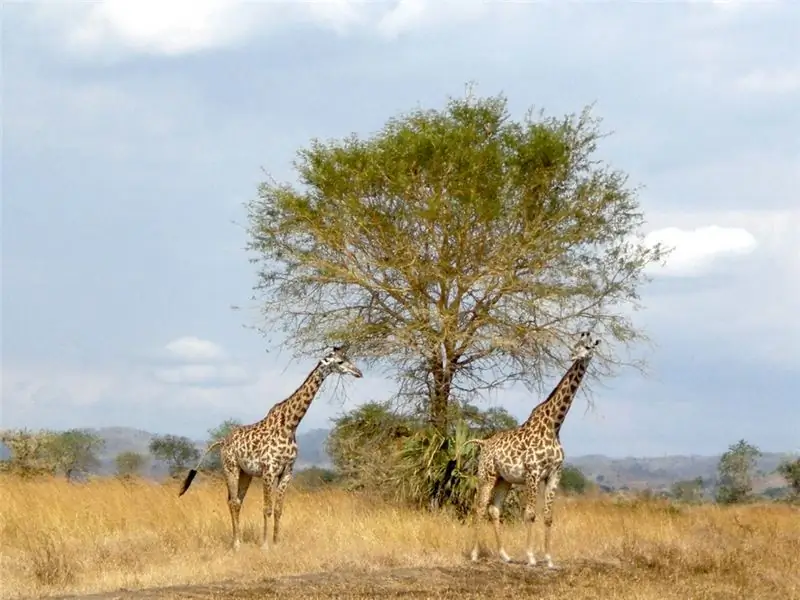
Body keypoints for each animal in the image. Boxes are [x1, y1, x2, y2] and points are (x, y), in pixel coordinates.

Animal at [178, 344, 362, 552]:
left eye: (349, 358)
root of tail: (223, 441)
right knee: (233, 501)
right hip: (230, 468)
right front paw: (265, 545)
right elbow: (266, 508)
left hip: (246, 473)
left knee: (237, 501)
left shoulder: (287, 471)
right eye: (340, 361)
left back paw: (237, 540)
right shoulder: (269, 470)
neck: (290, 425)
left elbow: (278, 509)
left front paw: (276, 543)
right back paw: (237, 544)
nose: (358, 372)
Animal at [462, 330, 600, 568]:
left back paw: (505, 555)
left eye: (589, 347)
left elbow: (548, 516)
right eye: (577, 344)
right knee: (479, 507)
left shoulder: (554, 474)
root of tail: (484, 443)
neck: (554, 425)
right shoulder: (533, 473)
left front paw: (549, 559)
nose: (574, 355)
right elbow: (530, 514)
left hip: (504, 480)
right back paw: (474, 554)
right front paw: (531, 557)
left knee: (494, 509)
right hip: (486, 475)